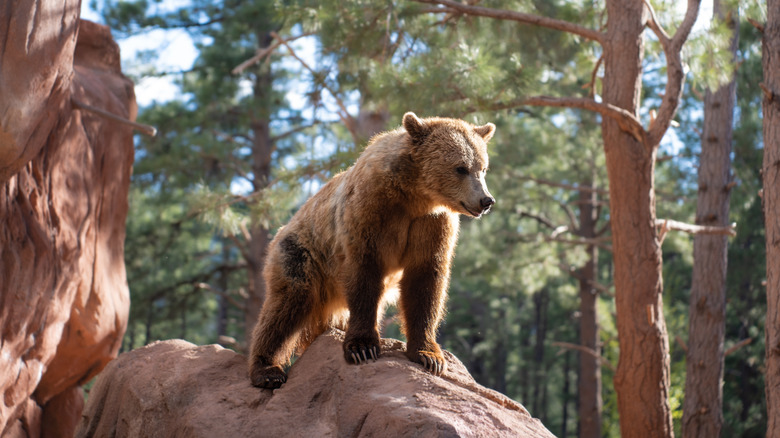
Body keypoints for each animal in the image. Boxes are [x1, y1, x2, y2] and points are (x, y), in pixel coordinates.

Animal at [248, 112, 496, 389]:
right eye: (460, 167)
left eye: (483, 168)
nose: (486, 200)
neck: (415, 195)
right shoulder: (371, 212)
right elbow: (365, 275)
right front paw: (362, 348)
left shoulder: (431, 225)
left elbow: (425, 282)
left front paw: (429, 356)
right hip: (302, 253)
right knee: (287, 304)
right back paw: (267, 370)